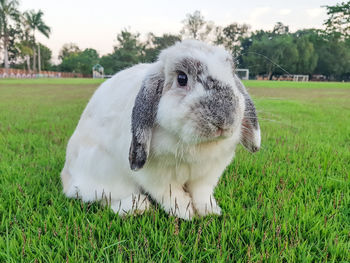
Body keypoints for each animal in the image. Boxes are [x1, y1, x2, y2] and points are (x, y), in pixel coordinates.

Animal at [61, 39, 260, 221]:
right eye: (182, 78)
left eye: (232, 73)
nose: (224, 120)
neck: (197, 145)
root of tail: (67, 177)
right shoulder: (156, 177)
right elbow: (172, 195)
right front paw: (185, 213)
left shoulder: (208, 174)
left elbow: (202, 194)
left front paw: (210, 211)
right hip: (103, 170)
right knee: (106, 196)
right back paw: (138, 207)